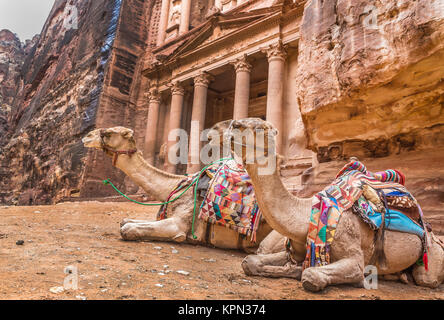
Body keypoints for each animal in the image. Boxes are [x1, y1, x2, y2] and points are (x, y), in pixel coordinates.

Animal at [81, 127, 280, 252]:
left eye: (108, 133)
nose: (86, 136)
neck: (175, 186)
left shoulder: (179, 223)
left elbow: (128, 229)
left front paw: (178, 239)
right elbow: (125, 220)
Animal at [209, 118, 444, 292]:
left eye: (262, 127)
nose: (234, 124)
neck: (306, 215)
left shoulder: (352, 254)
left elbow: (312, 274)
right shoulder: (296, 247)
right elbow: (250, 261)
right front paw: (289, 268)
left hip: (430, 257)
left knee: (426, 279)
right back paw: (399, 275)